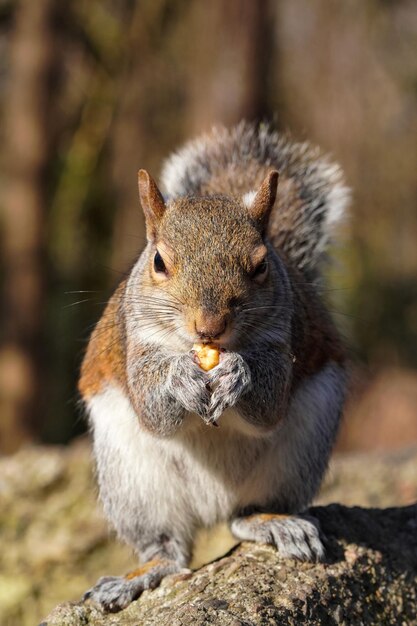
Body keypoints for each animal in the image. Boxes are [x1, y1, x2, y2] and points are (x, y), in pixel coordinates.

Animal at [78, 120, 348, 608]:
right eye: (158, 261)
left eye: (261, 266)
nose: (210, 326)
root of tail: (211, 507)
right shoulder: (135, 345)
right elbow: (154, 411)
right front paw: (180, 377)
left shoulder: (283, 339)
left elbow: (269, 407)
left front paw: (239, 373)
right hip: (134, 483)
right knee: (169, 549)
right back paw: (140, 575)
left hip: (297, 455)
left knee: (244, 515)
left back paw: (275, 523)